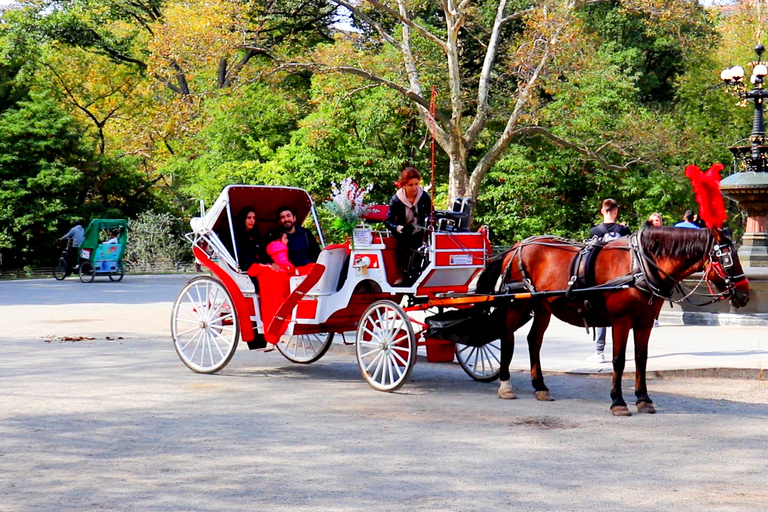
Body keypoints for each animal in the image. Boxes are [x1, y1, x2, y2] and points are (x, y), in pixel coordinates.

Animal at [480, 226, 752, 414]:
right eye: (728, 259)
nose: (745, 295)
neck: (640, 266)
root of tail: (517, 246)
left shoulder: (644, 322)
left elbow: (641, 359)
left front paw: (643, 399)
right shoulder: (621, 322)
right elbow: (619, 361)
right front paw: (618, 401)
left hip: (543, 306)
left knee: (533, 340)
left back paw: (540, 387)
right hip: (516, 303)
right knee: (507, 338)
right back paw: (505, 384)